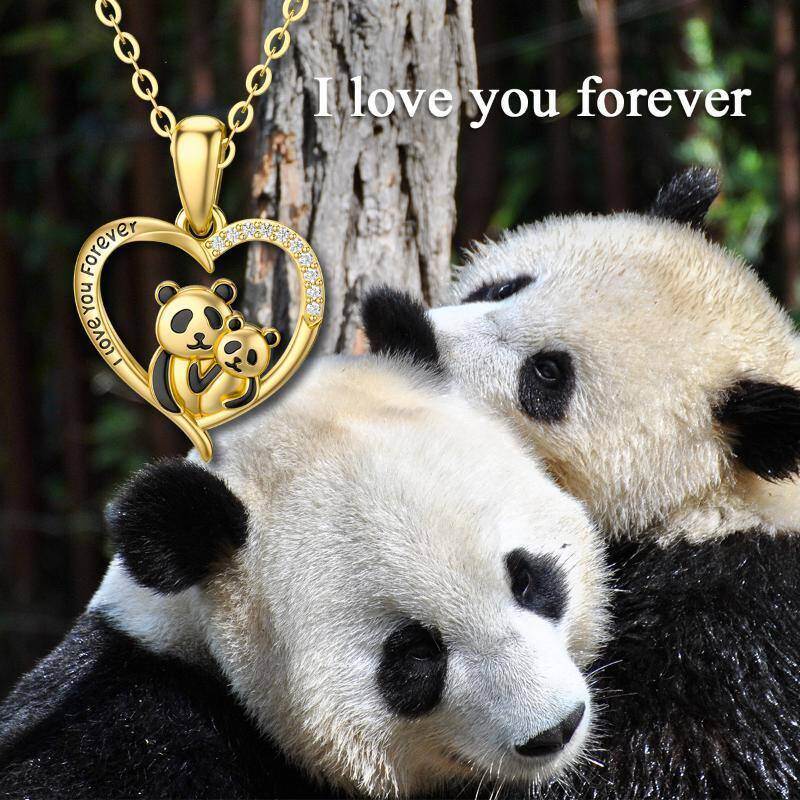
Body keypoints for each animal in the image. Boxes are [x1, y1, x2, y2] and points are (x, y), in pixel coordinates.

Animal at [362, 168, 800, 799]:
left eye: (547, 375)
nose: (418, 337)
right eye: (502, 288)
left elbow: (640, 757)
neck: (720, 497)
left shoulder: (735, 626)